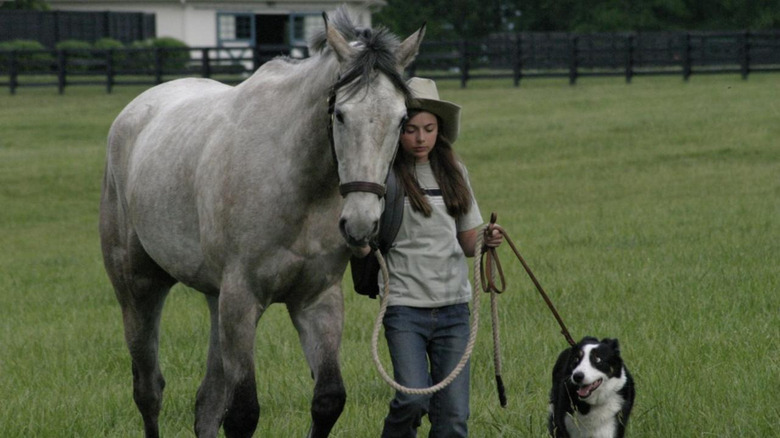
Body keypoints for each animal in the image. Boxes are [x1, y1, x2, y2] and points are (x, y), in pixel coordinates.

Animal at [99, 10, 426, 438]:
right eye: (340, 114)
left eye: (402, 119)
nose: (361, 223)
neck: (297, 182)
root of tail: (134, 113)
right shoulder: (243, 299)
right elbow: (242, 414)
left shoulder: (316, 301)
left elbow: (328, 399)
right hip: (139, 287)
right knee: (148, 391)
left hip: (215, 299)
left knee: (206, 403)